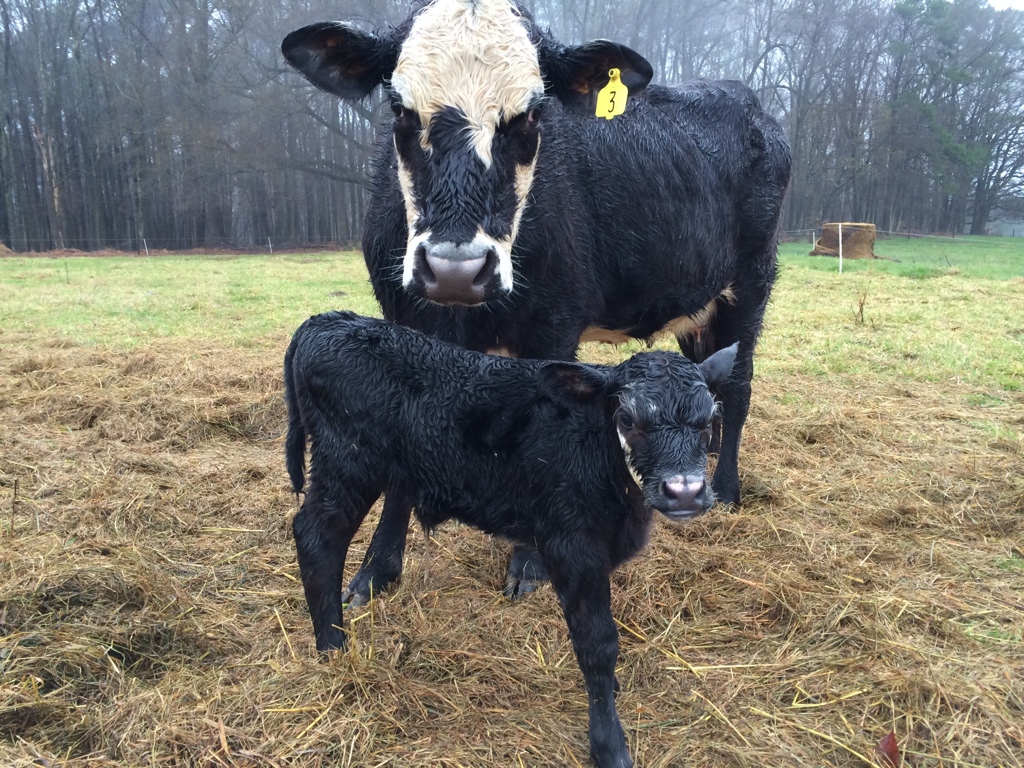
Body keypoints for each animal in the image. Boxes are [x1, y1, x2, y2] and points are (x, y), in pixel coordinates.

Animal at [280, 0, 790, 602]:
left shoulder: (553, 327)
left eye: (529, 116)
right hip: (698, 306)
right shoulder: (402, 325)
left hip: (750, 285)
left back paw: (727, 487)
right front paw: (377, 567)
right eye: (400, 109)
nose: (456, 269)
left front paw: (528, 562)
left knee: (737, 388)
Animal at [284, 311, 741, 768]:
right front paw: (609, 743)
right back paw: (332, 649)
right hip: (346, 463)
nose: (684, 491)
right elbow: (598, 643)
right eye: (627, 419)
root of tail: (328, 321)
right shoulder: (570, 546)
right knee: (316, 537)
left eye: (708, 420)